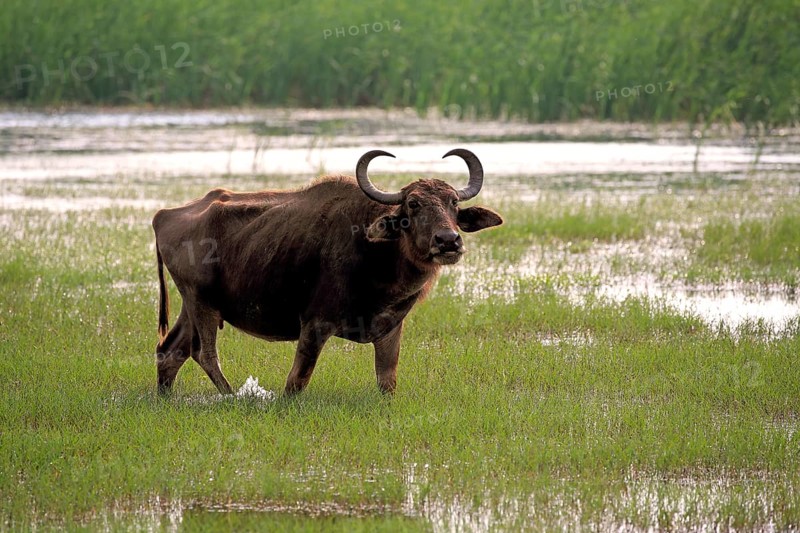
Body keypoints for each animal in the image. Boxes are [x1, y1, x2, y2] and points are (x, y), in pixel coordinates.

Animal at [153, 149, 502, 395]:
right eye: (413, 204)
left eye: (453, 202)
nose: (448, 241)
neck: (375, 254)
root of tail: (163, 215)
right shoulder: (315, 323)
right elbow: (297, 381)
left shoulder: (391, 329)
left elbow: (387, 381)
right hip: (202, 302)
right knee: (204, 353)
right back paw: (234, 396)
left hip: (192, 305)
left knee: (170, 351)